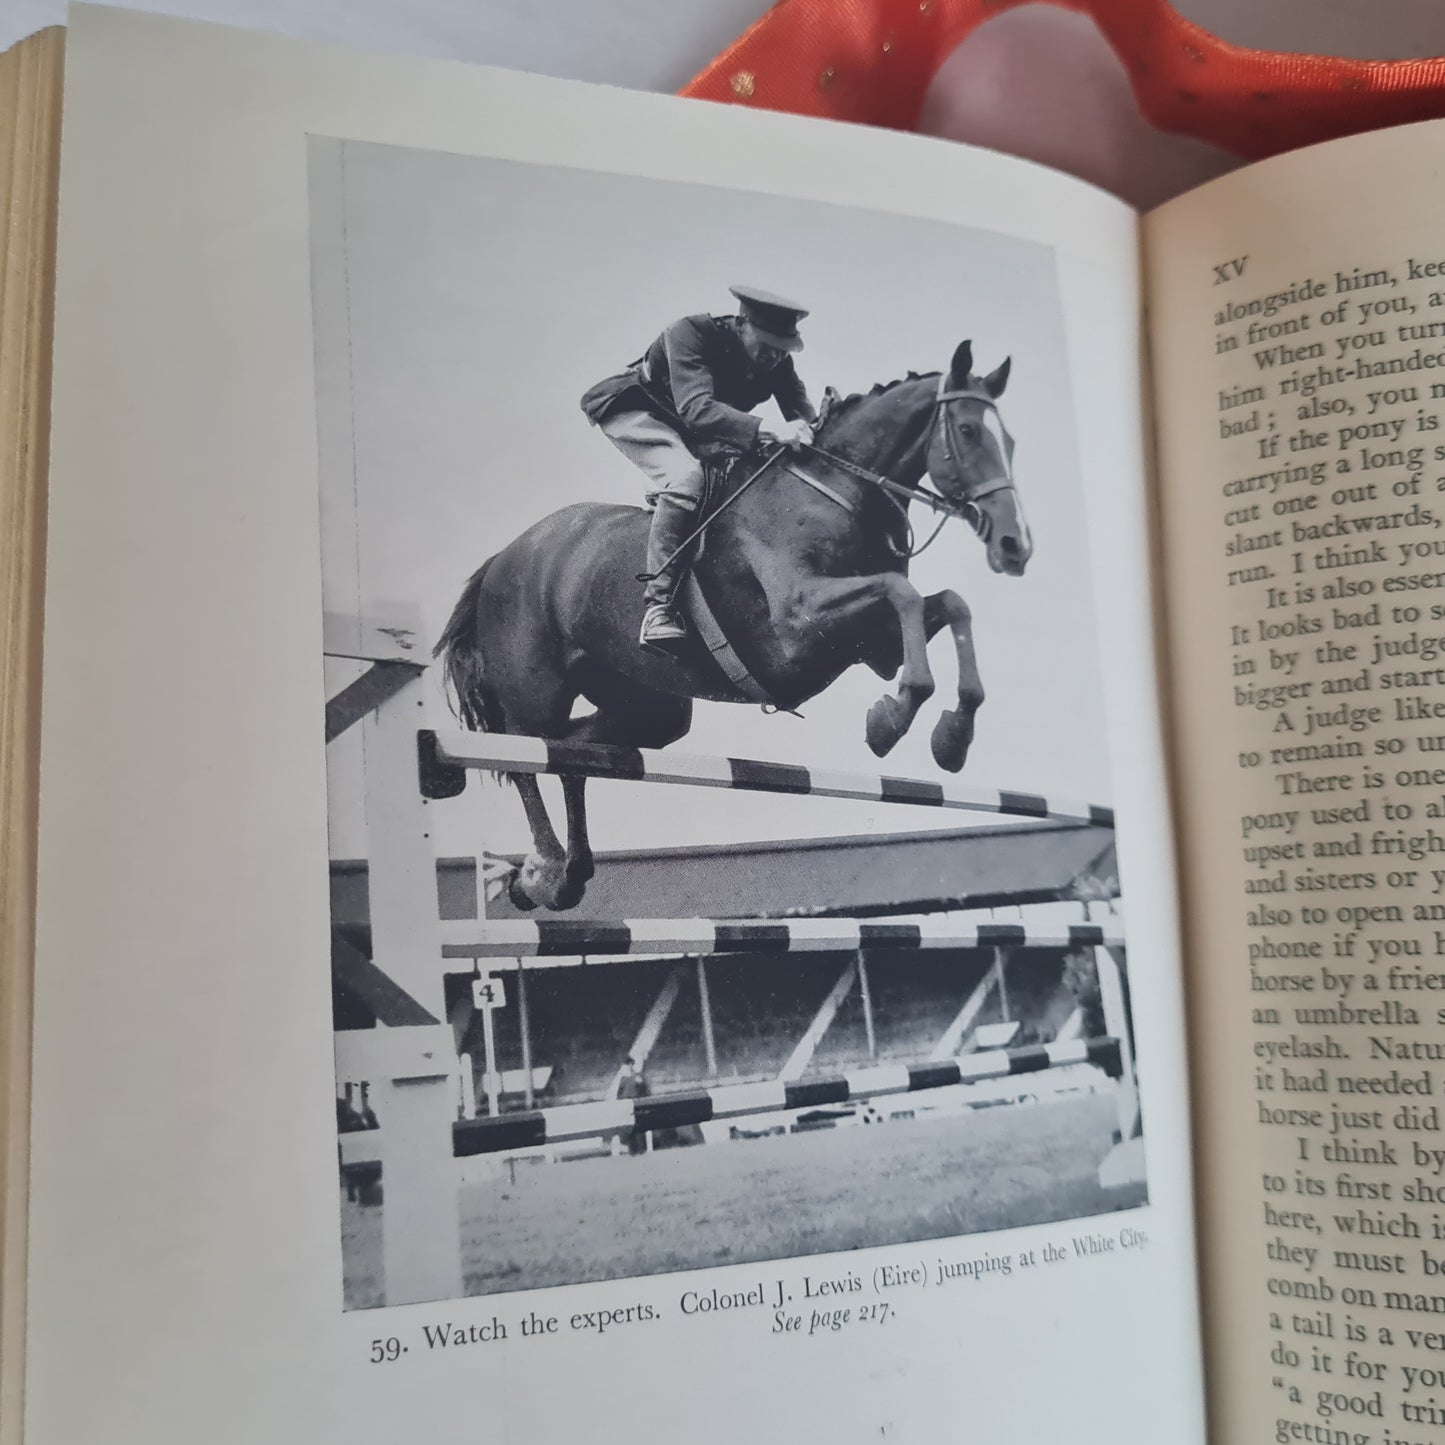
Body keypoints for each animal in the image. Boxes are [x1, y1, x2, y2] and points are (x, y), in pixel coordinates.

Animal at [433, 338, 1034, 907]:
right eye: (968, 431)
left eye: (1011, 442)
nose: (1015, 546)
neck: (836, 493)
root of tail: (504, 558)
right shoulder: (798, 628)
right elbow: (902, 593)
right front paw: (891, 721)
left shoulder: (874, 645)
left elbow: (949, 604)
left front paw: (950, 737)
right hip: (537, 692)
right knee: (527, 756)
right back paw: (545, 870)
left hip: (650, 710)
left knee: (575, 757)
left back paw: (553, 877)